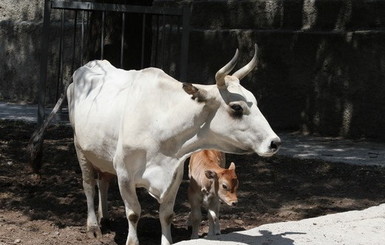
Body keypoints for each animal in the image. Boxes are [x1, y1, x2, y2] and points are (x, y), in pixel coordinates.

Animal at [67, 44, 280, 245]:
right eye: (237, 107)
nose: (274, 142)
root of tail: (89, 65)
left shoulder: (175, 174)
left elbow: (167, 215)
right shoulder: (125, 173)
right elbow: (133, 213)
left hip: (102, 154)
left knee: (103, 182)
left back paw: (105, 218)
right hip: (80, 148)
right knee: (89, 185)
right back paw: (93, 226)